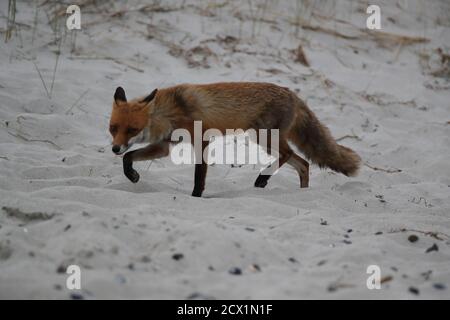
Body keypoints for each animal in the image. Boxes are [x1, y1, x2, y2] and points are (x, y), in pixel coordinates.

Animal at [110, 82, 362, 198]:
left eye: (132, 129)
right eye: (113, 128)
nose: (114, 148)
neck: (172, 110)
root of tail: (293, 93)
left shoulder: (201, 141)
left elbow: (199, 177)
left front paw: (196, 197)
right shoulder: (165, 144)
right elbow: (129, 157)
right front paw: (131, 175)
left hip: (263, 136)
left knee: (290, 154)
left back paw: (263, 178)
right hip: (266, 138)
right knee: (304, 164)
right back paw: (302, 194)